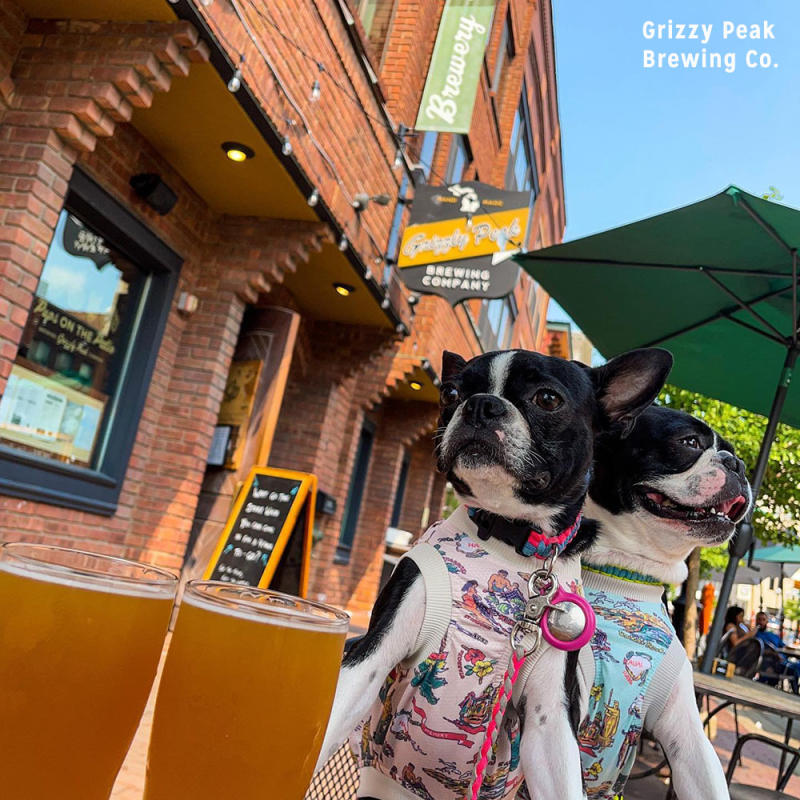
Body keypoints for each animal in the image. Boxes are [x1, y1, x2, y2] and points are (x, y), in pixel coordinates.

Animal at [316, 346, 672, 796]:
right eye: (450, 393)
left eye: (547, 399)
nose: (481, 405)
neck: (512, 541)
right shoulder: (371, 655)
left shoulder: (550, 717)